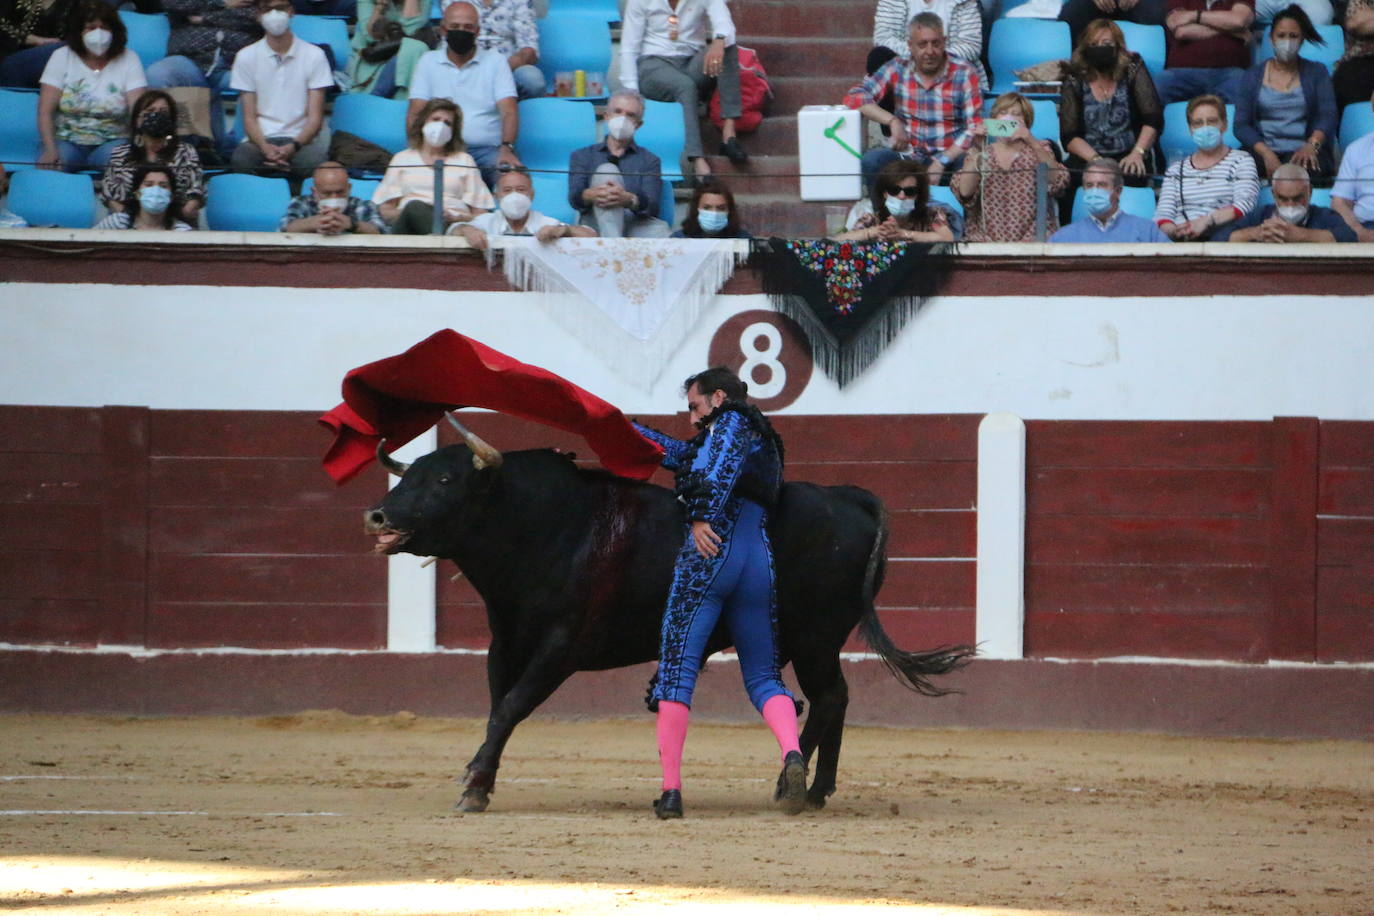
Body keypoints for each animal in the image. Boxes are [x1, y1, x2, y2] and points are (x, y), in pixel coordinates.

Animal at [359, 439, 972, 813]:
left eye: (444, 479)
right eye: (409, 475)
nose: (377, 515)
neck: (544, 526)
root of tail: (846, 495)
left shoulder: (562, 646)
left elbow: (510, 707)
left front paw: (473, 787)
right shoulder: (504, 642)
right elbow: (496, 710)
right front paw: (479, 782)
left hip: (815, 636)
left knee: (829, 698)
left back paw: (793, 788)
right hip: (811, 640)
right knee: (832, 698)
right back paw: (813, 789)